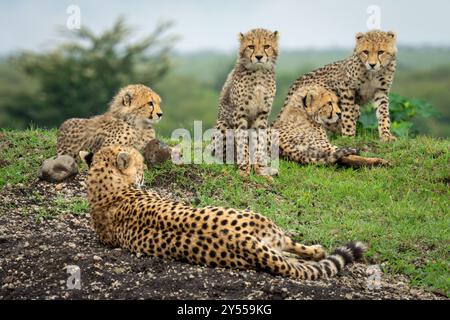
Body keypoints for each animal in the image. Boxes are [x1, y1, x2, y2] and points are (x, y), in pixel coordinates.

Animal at [81, 145, 366, 280]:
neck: (107, 191)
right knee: (294, 249)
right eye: (141, 166)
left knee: (291, 254)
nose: (146, 172)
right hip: (259, 221)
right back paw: (316, 251)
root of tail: (244, 241)